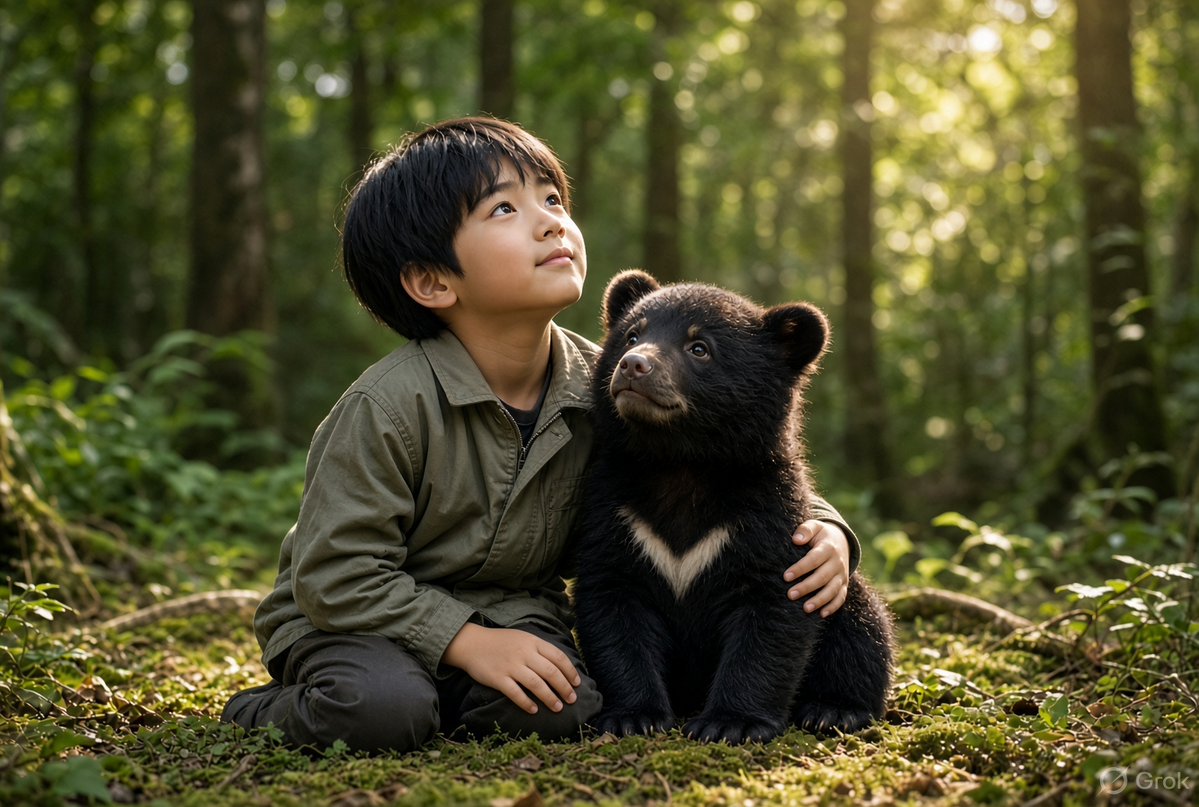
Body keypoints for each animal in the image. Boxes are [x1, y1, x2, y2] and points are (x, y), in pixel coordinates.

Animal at [572, 269, 894, 744]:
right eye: (632, 334)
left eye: (699, 348)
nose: (633, 365)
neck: (681, 463)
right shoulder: (616, 513)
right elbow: (613, 604)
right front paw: (634, 716)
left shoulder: (766, 517)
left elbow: (771, 612)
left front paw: (730, 723)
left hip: (842, 592)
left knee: (862, 627)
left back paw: (833, 710)